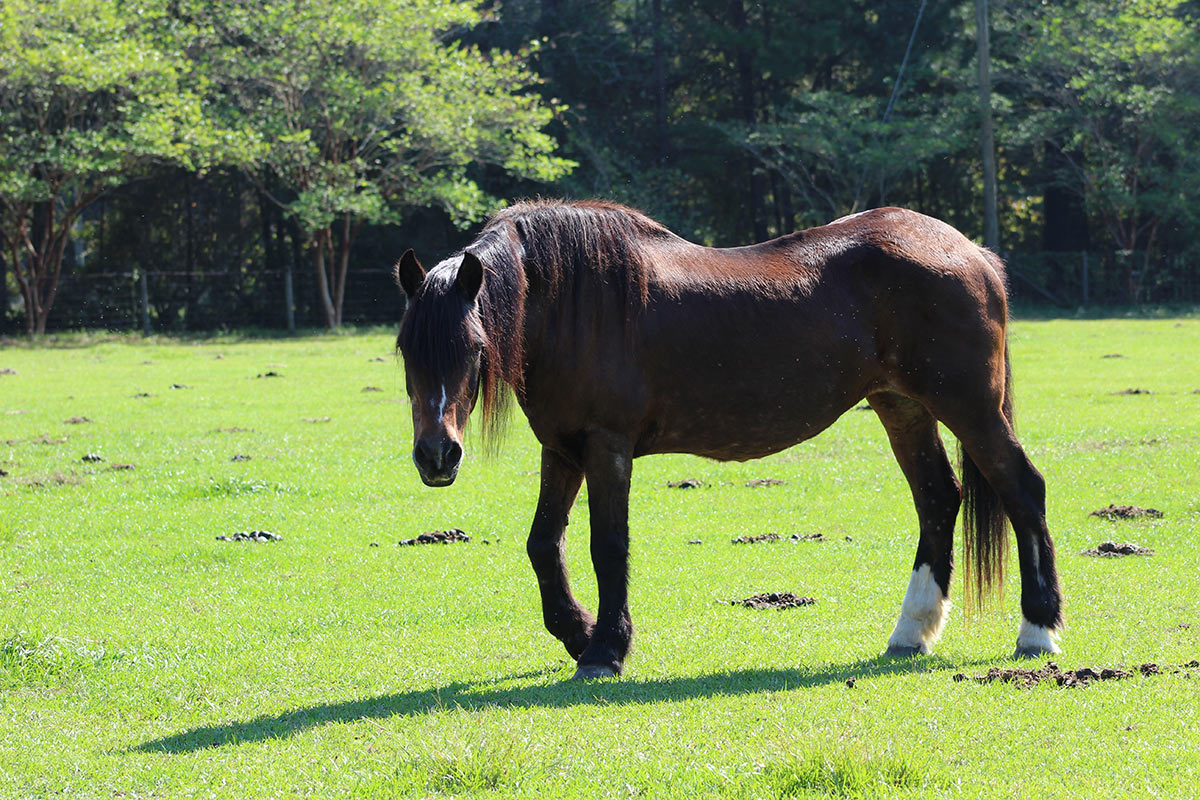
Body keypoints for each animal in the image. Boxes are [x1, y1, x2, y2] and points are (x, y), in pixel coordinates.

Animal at [391, 199, 1060, 676]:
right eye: (405, 348)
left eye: (473, 346)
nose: (436, 456)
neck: (575, 306)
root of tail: (971, 252)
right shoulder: (562, 449)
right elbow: (542, 545)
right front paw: (579, 633)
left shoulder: (607, 448)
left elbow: (608, 546)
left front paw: (606, 650)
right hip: (902, 407)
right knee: (938, 499)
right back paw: (910, 634)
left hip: (969, 405)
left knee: (1022, 489)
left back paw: (1039, 632)